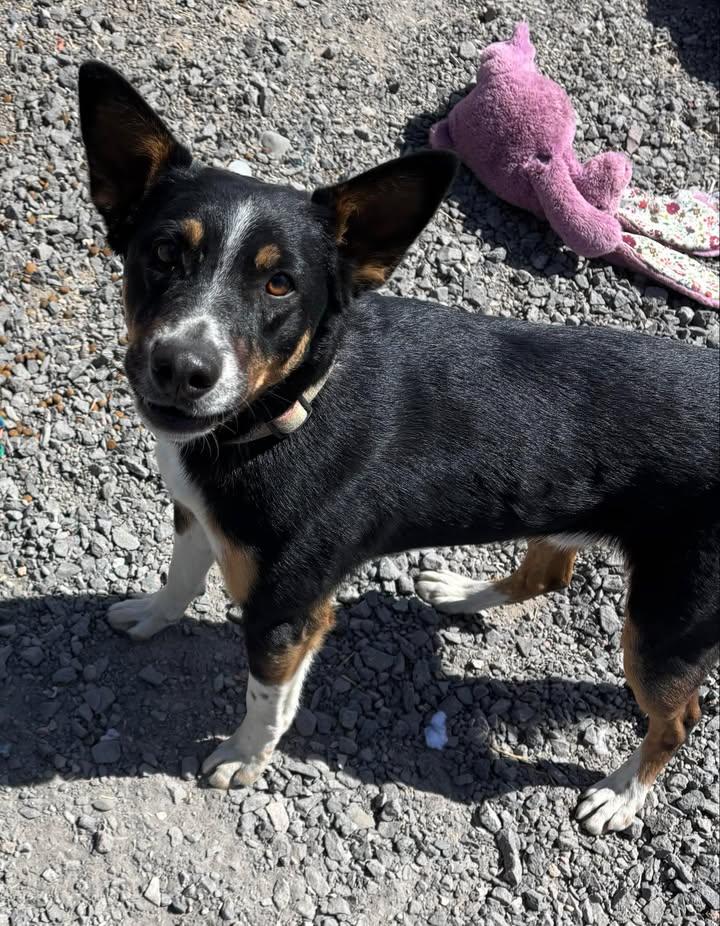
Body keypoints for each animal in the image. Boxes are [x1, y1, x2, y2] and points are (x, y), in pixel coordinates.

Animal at [78, 61, 719, 835]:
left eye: (279, 283)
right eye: (164, 254)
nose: (181, 368)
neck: (288, 410)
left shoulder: (287, 613)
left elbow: (266, 702)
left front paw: (243, 759)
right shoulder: (196, 514)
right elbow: (179, 579)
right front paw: (150, 614)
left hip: (668, 622)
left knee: (679, 717)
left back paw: (622, 795)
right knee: (547, 576)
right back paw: (463, 591)